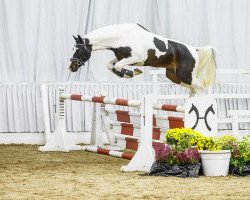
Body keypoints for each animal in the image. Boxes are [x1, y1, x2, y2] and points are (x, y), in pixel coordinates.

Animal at [69, 23, 216, 95]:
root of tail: (194, 50)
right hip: (174, 76)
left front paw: (131, 73)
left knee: (201, 85)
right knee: (193, 89)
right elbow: (111, 65)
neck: (120, 37)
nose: (72, 67)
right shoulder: (122, 58)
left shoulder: (135, 58)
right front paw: (126, 74)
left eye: (79, 50)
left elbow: (117, 66)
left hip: (185, 75)